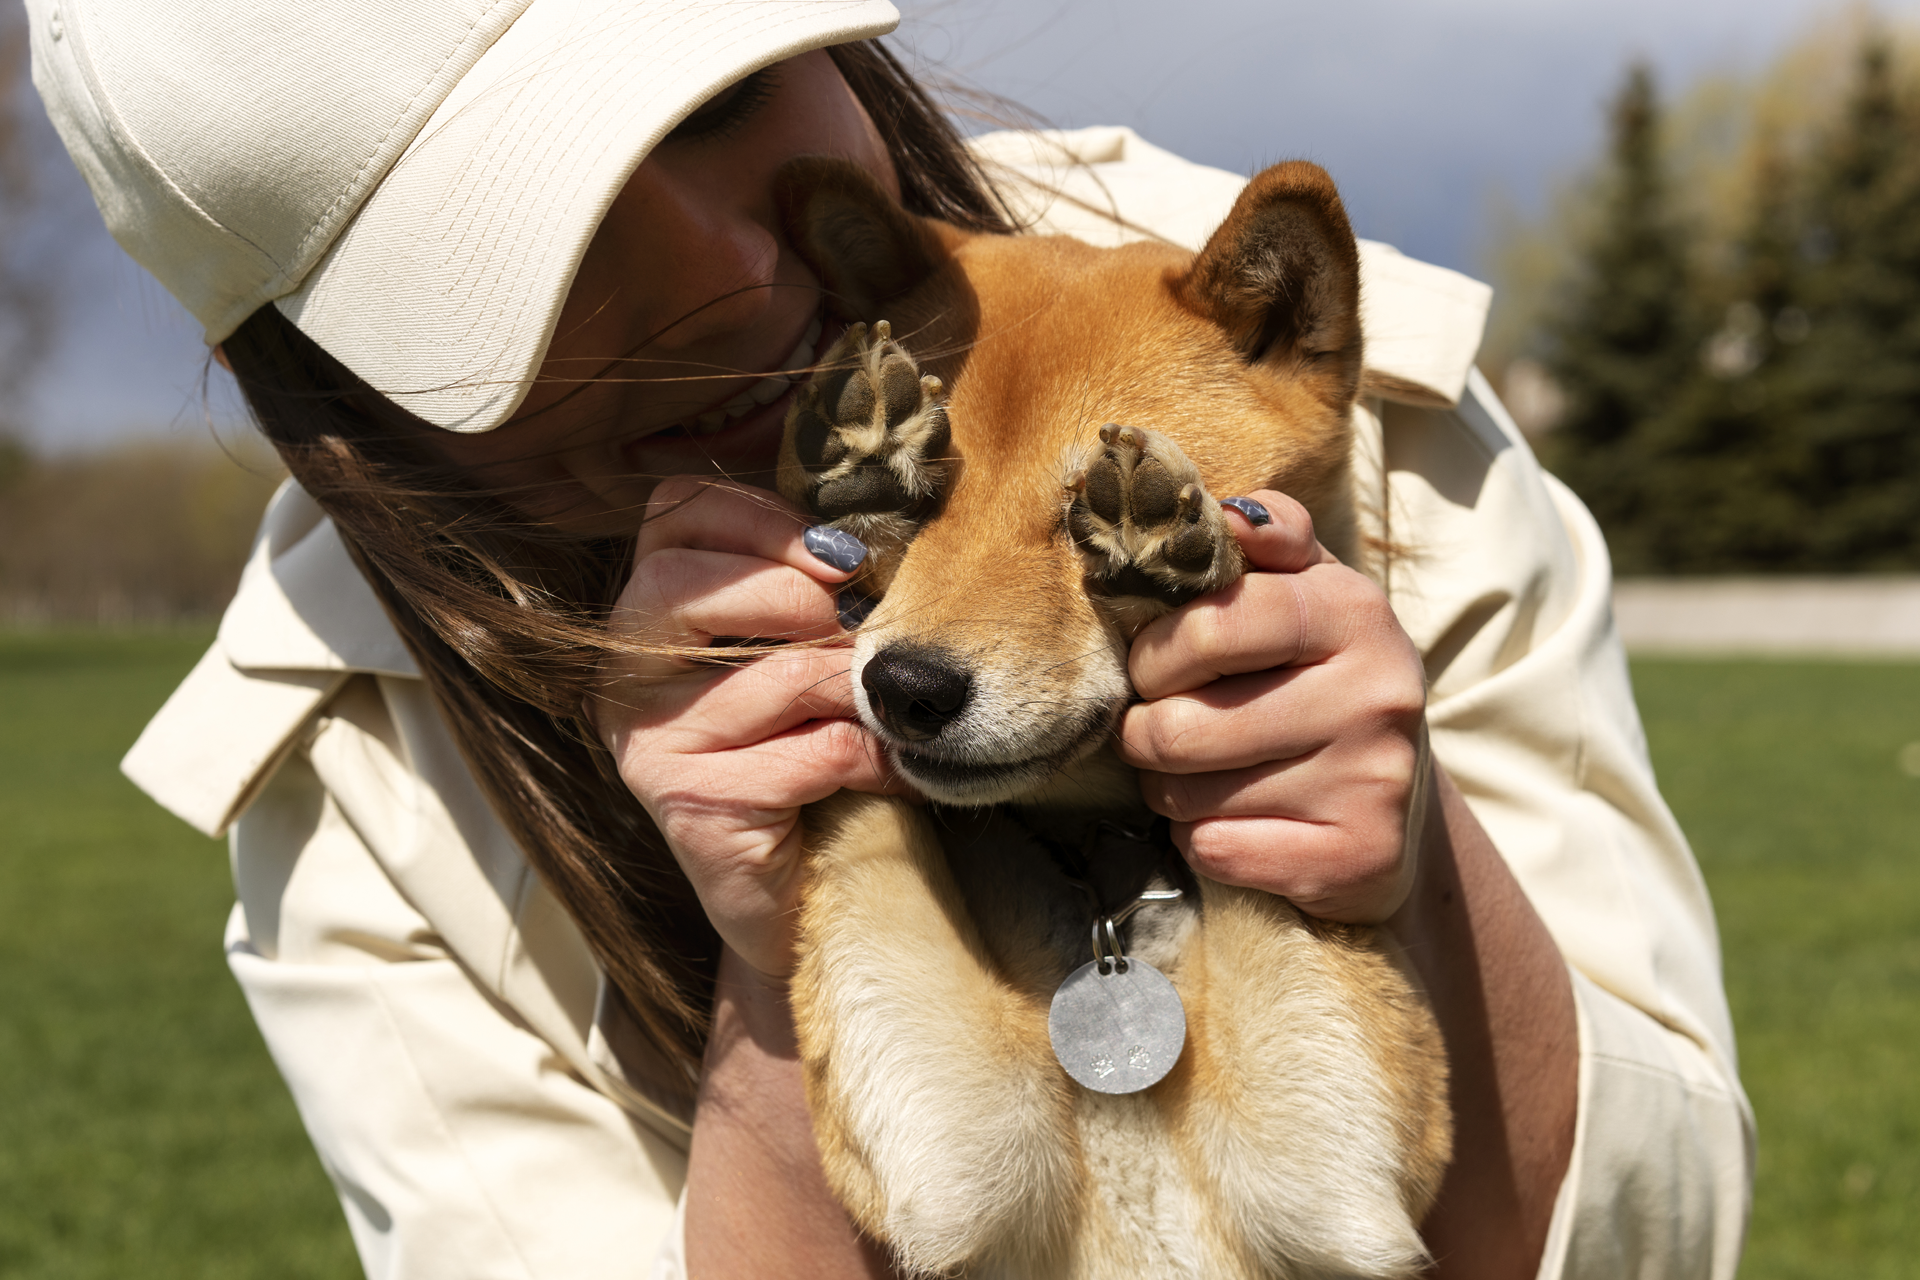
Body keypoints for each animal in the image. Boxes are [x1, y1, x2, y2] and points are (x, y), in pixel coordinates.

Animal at [771, 155, 1443, 1274]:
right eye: (916, 506)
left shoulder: (1331, 1177)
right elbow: (867, 819)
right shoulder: (956, 1158)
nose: (905, 688)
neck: (1098, 873)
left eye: (1083, 513)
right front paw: (862, 446)